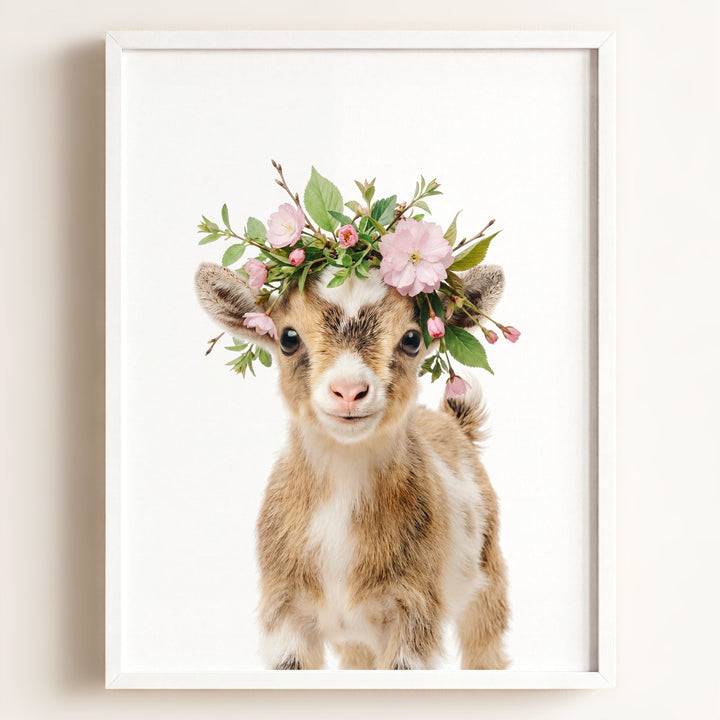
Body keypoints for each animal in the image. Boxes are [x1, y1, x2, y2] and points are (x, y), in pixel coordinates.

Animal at [195, 262, 509, 670]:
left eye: (412, 338)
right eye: (288, 338)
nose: (348, 391)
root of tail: (454, 425)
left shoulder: (413, 612)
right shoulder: (285, 615)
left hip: (488, 577)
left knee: (485, 644)